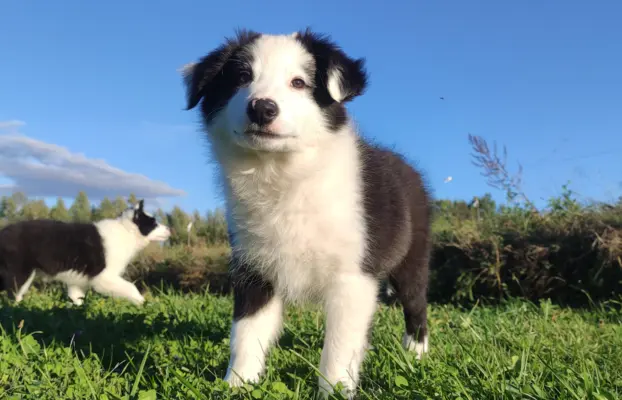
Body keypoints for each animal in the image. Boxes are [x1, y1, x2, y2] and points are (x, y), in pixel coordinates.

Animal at [0, 198, 171, 304]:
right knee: (13, 297)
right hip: (19, 274)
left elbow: (77, 300)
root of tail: (3, 232)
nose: (170, 229)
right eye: (154, 223)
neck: (126, 230)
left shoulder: (77, 282)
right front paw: (144, 304)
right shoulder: (104, 277)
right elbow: (131, 287)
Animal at [183, 28, 432, 396]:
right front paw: (237, 385)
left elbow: (339, 347)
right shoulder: (254, 268)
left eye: (299, 83)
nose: (262, 108)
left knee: (416, 305)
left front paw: (335, 392)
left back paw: (415, 354)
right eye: (242, 77)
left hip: (412, 259)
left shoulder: (352, 277)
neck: (283, 174)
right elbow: (246, 334)